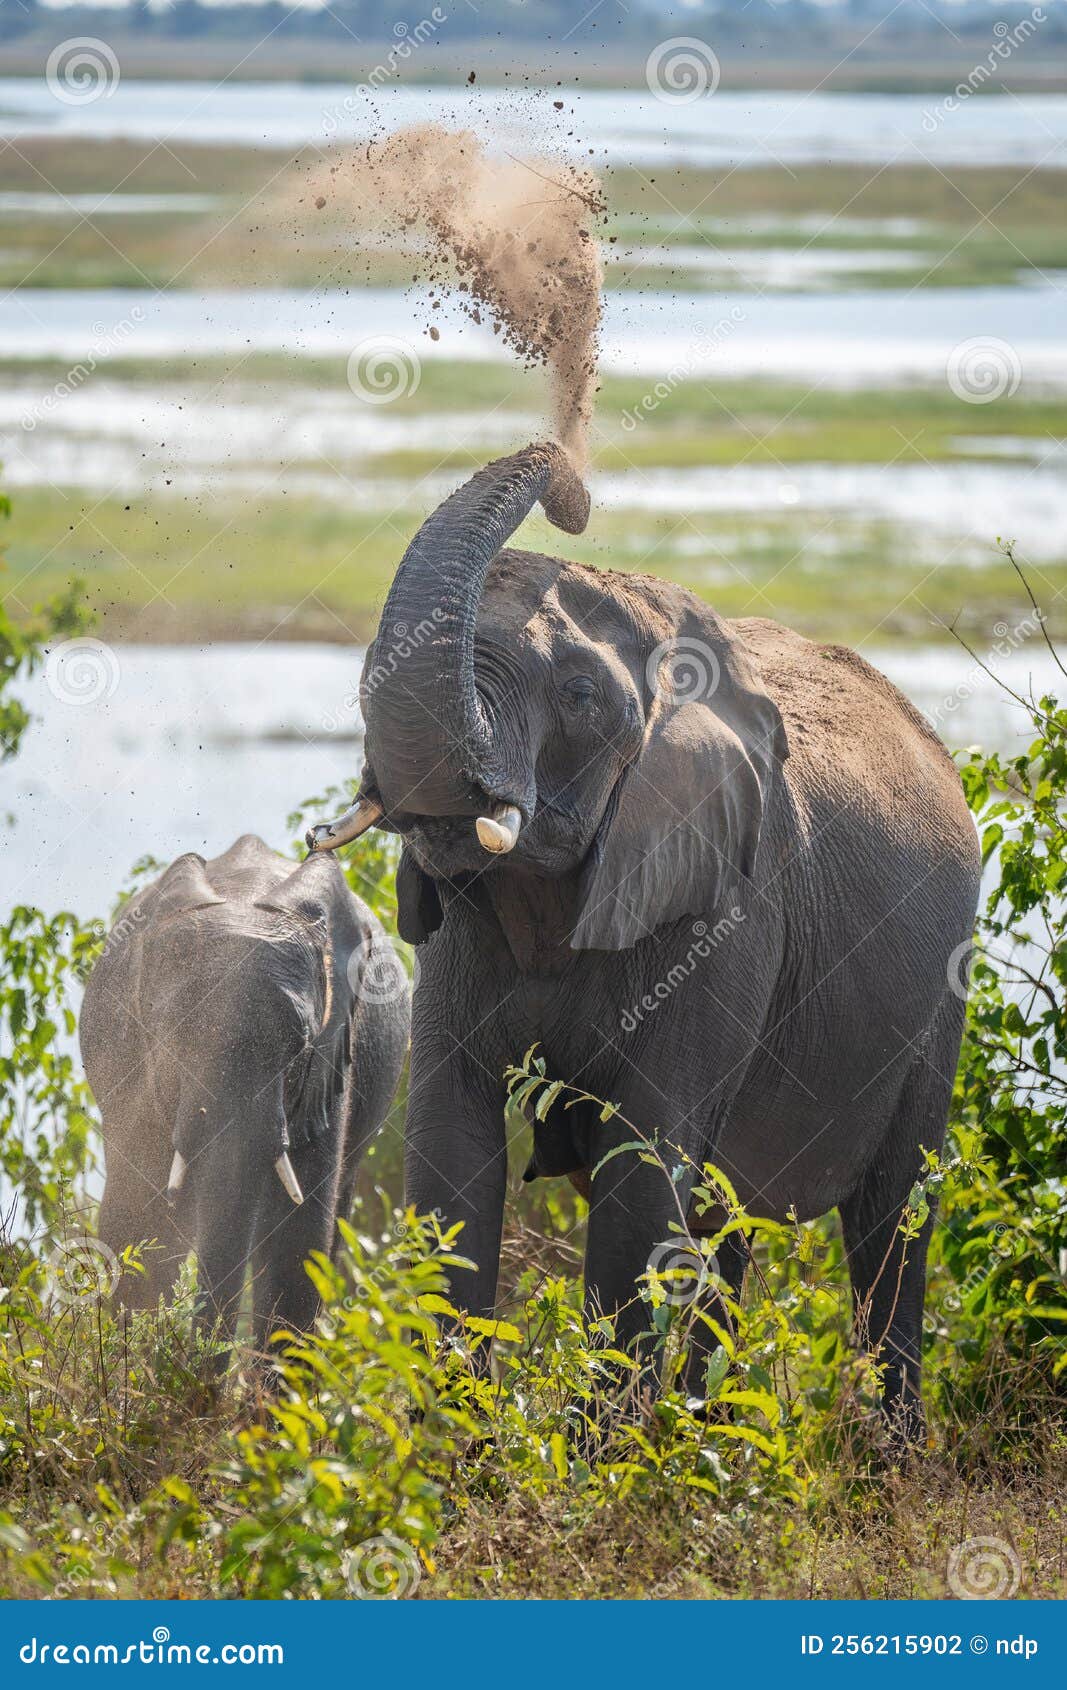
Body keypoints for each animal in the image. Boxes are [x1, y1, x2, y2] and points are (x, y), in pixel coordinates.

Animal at [79, 835, 409, 1362]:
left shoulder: (331, 1064)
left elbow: (299, 1244)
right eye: (172, 1041)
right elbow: (137, 1227)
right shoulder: (129, 1066)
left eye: (298, 1047)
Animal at [307, 441, 981, 1439]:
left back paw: (887, 1457)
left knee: (890, 1227)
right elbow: (450, 1151)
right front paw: (458, 1456)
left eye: (580, 694)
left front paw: (587, 1464)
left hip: (937, 995)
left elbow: (639, 1174)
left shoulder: (726, 915)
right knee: (724, 1230)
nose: (565, 480)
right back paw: (709, 1441)